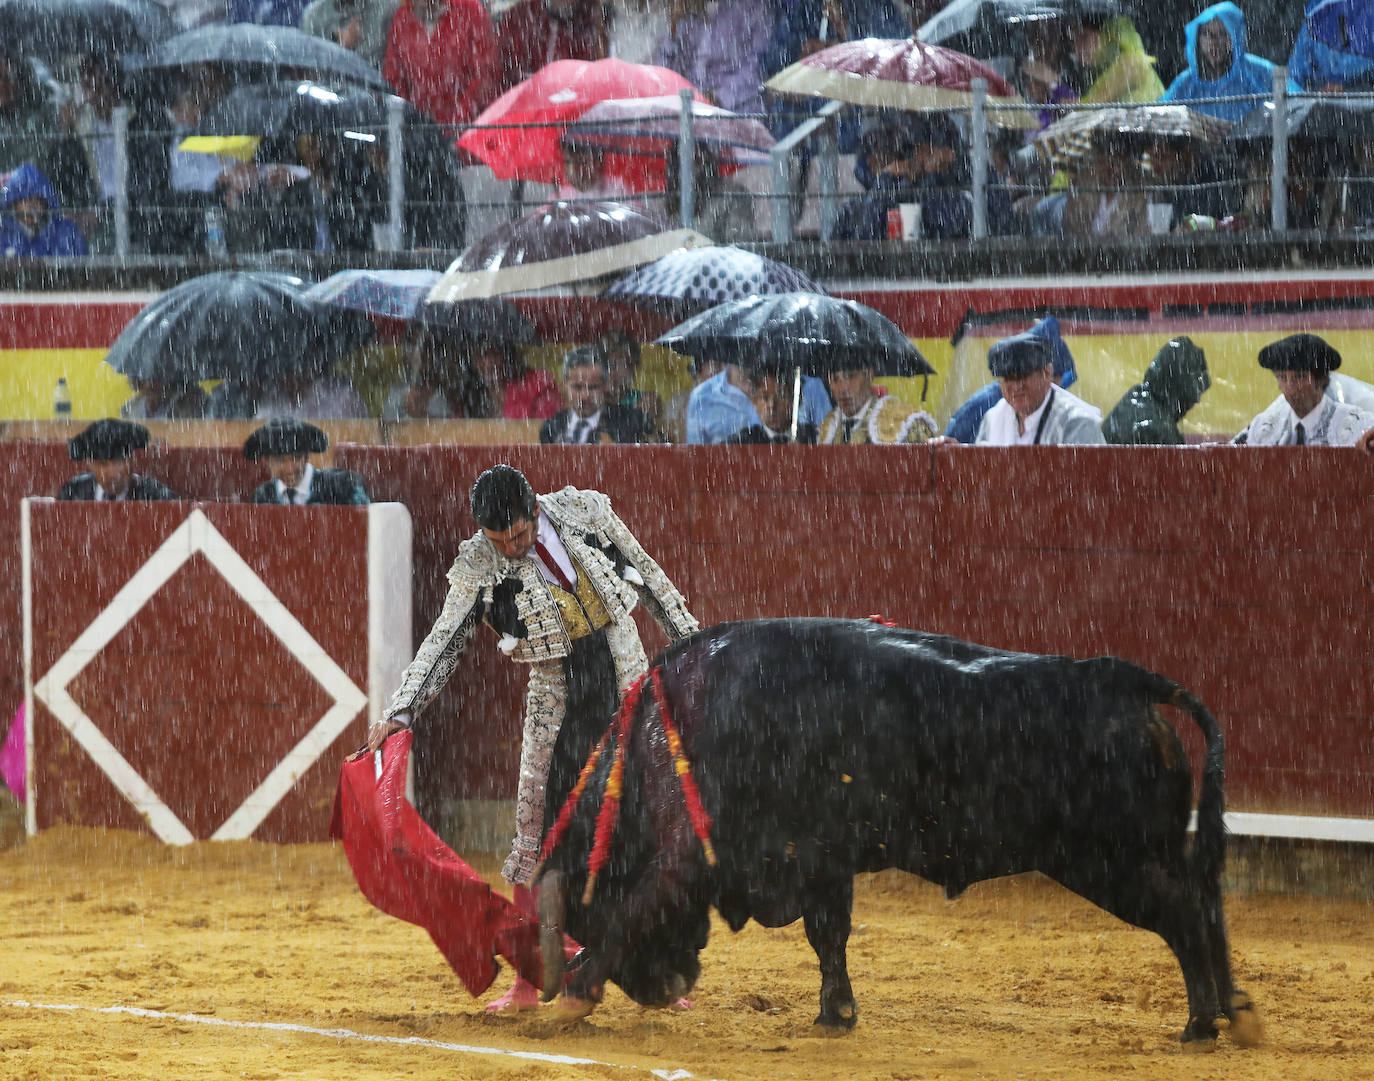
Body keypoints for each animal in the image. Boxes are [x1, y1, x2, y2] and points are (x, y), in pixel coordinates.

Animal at [530, 618, 1258, 1049]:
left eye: (584, 913)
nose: (664, 988)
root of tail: (1123, 679)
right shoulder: (822, 859)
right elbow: (828, 937)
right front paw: (837, 1014)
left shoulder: (695, 853)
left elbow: (639, 905)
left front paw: (568, 997)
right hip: (1145, 851)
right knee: (1206, 907)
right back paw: (1235, 1010)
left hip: (1110, 859)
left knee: (1184, 912)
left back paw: (1201, 1023)